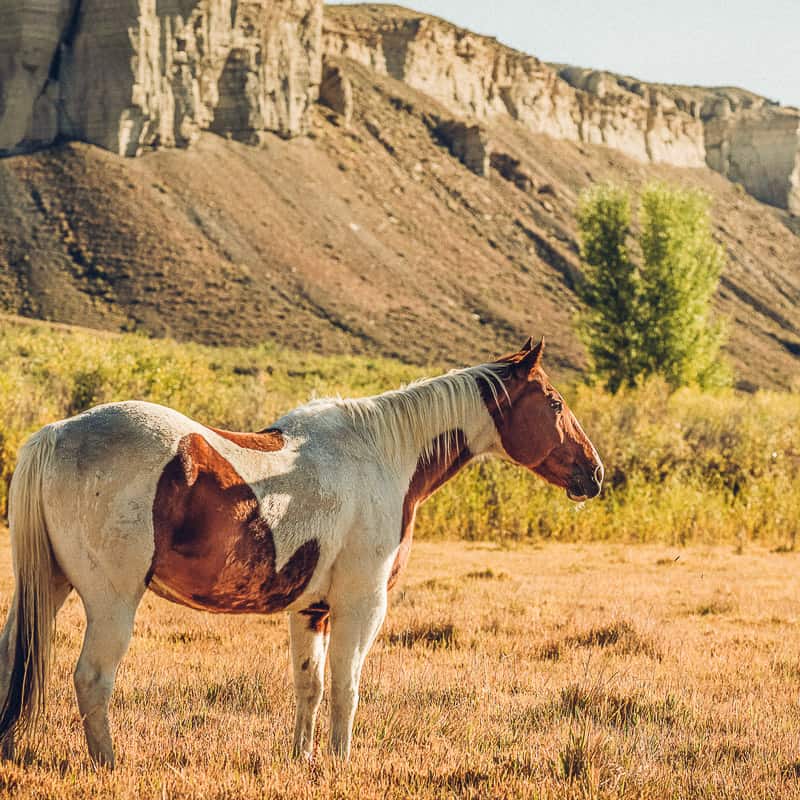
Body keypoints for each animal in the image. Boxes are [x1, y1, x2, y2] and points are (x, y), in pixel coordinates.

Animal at [0, 334, 600, 764]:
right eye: (554, 402)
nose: (593, 473)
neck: (381, 455)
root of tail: (56, 433)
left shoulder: (311, 610)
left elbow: (308, 686)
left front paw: (303, 759)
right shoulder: (361, 606)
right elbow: (345, 687)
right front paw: (339, 762)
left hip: (49, 587)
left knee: (13, 658)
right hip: (112, 602)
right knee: (92, 679)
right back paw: (109, 763)